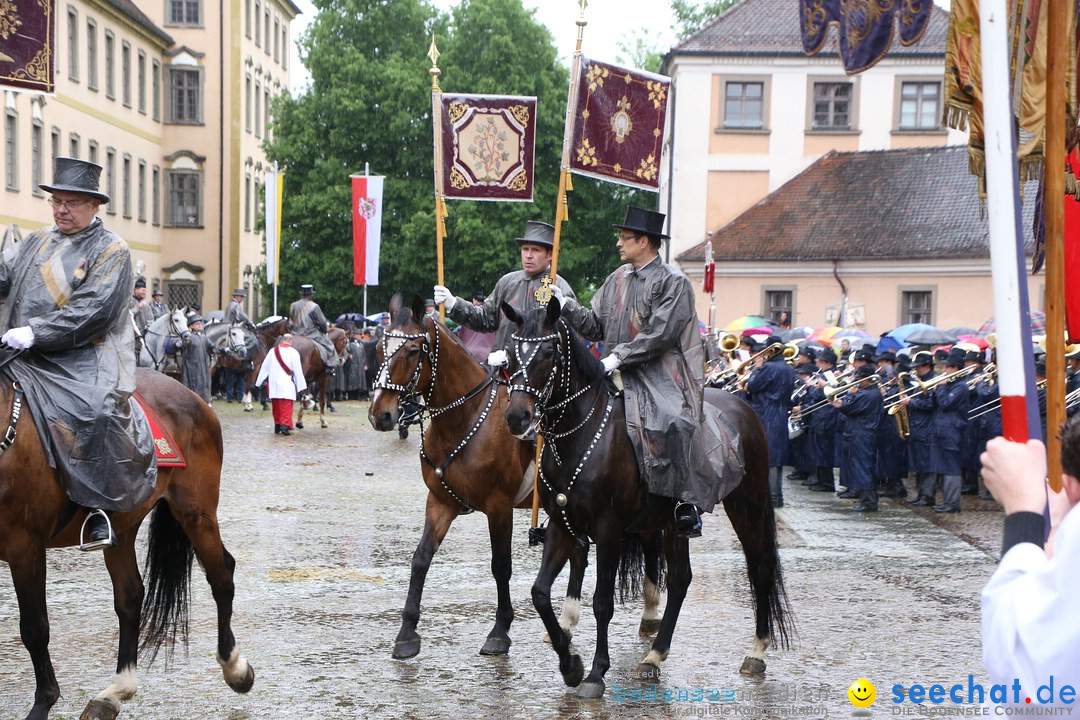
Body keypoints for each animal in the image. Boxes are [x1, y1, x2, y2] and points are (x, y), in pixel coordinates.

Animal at [0, 367, 253, 720]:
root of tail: (189, 394)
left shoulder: (25, 547)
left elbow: (35, 629)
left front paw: (42, 704)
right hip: (124, 523)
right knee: (130, 596)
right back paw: (115, 692)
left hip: (196, 512)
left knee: (221, 575)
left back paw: (235, 667)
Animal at [498, 300, 794, 699]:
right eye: (512, 354)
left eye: (547, 353)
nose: (517, 417)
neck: (579, 437)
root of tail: (742, 407)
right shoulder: (562, 526)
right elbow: (540, 593)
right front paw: (570, 664)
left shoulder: (608, 532)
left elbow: (602, 603)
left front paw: (595, 673)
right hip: (671, 524)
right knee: (681, 579)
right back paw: (654, 655)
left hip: (748, 505)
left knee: (760, 567)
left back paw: (756, 651)